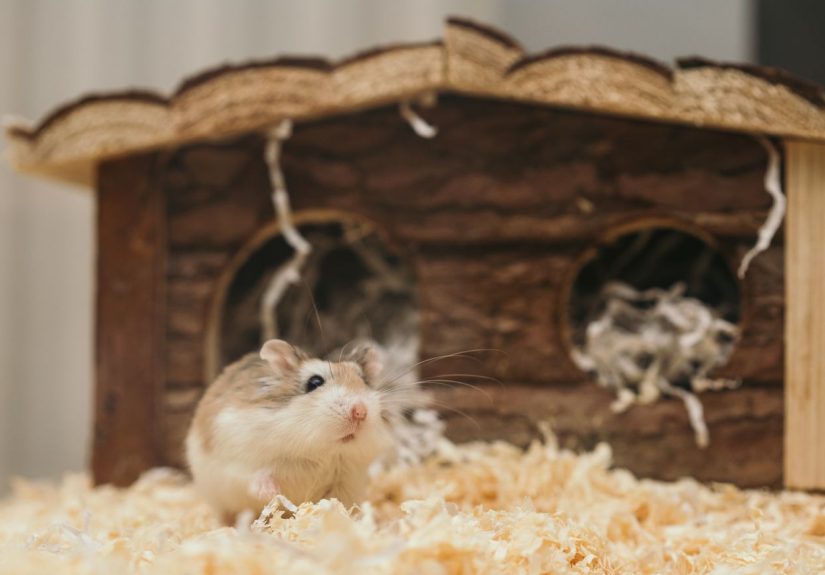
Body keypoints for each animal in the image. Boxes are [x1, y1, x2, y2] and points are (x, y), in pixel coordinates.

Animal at [185, 339, 395, 519]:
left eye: (364, 381)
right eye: (315, 382)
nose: (360, 412)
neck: (321, 452)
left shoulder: (346, 481)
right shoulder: (238, 461)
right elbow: (255, 476)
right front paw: (272, 493)